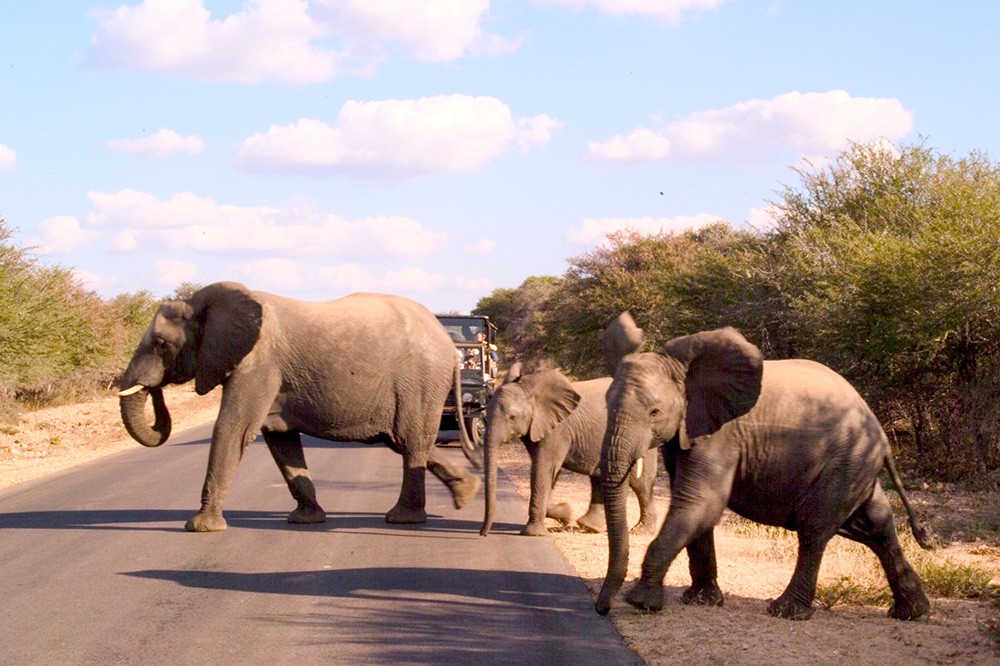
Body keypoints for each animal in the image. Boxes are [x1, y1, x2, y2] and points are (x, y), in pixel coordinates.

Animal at [115, 280, 482, 528]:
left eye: (160, 344)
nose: (155, 389)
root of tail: (449, 344)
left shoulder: (258, 363)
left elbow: (233, 429)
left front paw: (200, 527)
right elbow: (280, 440)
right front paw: (306, 520)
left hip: (419, 382)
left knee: (410, 441)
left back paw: (404, 518)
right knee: (404, 442)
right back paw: (467, 492)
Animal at [480, 360, 660, 536]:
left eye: (512, 417)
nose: (483, 534)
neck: (530, 390)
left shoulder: (557, 429)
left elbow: (543, 468)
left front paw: (535, 532)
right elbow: (550, 472)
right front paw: (565, 514)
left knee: (641, 484)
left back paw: (642, 531)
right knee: (600, 478)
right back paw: (590, 527)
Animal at [592, 314, 928, 620]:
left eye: (655, 412)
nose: (601, 609)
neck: (684, 372)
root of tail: (881, 433)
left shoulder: (721, 434)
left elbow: (699, 502)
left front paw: (641, 603)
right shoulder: (687, 432)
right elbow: (694, 505)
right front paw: (700, 601)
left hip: (846, 461)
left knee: (815, 528)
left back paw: (786, 611)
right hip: (857, 465)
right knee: (875, 526)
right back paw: (911, 613)